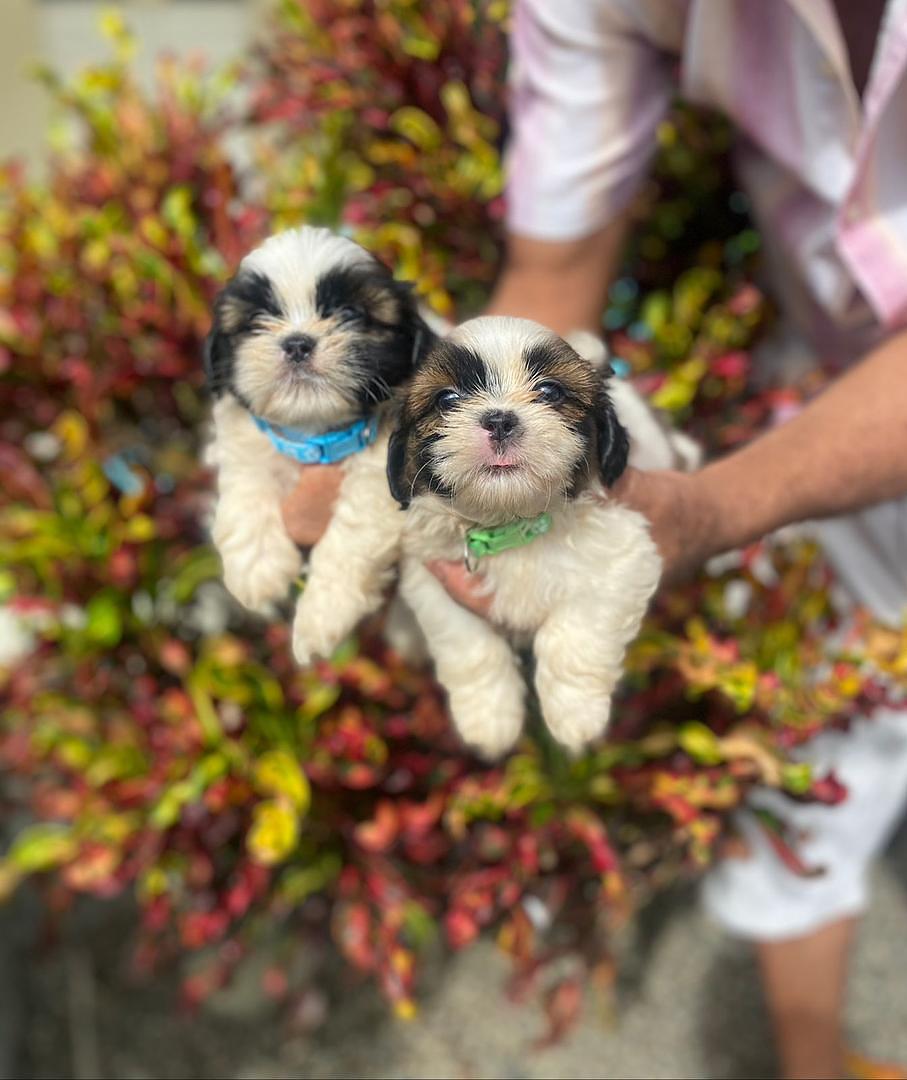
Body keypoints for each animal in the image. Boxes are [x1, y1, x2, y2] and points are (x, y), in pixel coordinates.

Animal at [204, 223, 438, 660]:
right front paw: (256, 568)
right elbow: (246, 483)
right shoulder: (249, 440)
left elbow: (353, 533)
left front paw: (321, 615)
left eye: (349, 315)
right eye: (258, 319)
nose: (297, 343)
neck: (318, 432)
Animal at [384, 315, 682, 760]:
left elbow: (574, 636)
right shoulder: (435, 578)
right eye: (446, 399)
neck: (513, 524)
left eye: (550, 391)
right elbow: (468, 646)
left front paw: (576, 717)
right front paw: (489, 720)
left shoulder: (625, 556)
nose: (499, 420)